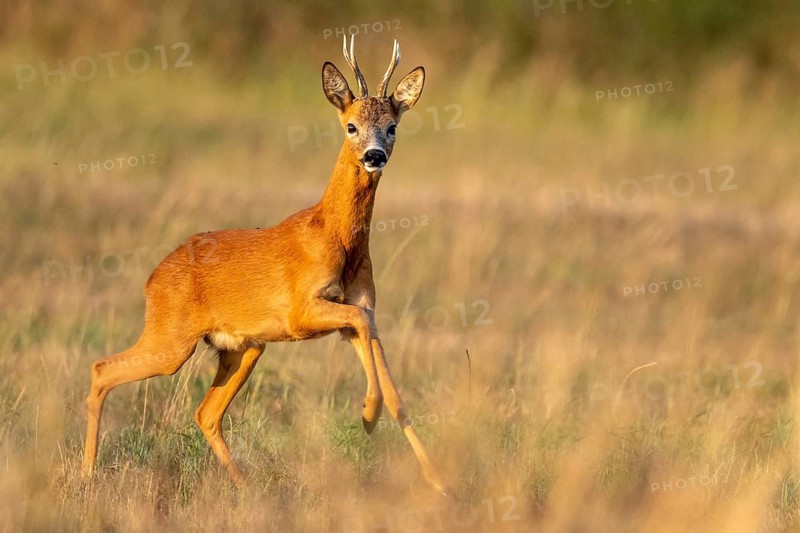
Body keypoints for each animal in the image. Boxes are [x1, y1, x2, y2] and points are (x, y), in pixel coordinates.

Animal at [81, 36, 448, 494]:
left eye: (392, 126)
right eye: (351, 126)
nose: (374, 155)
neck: (336, 238)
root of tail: (153, 278)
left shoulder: (363, 307)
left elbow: (397, 394)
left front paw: (439, 481)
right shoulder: (301, 312)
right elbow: (363, 339)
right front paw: (367, 417)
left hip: (243, 347)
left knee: (205, 412)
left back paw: (246, 487)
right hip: (172, 340)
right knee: (102, 370)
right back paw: (85, 476)